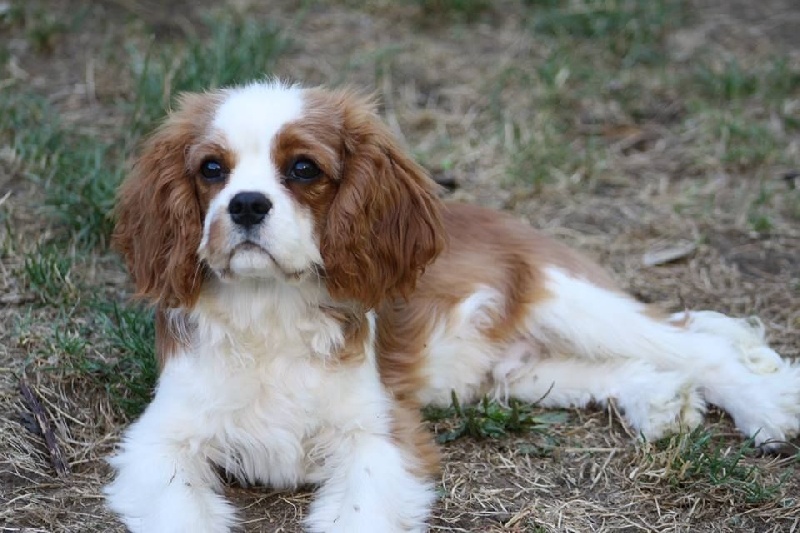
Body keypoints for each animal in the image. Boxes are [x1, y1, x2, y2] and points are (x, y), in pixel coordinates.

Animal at [105, 80, 800, 532]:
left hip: (570, 300)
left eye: (303, 169)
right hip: (511, 376)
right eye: (211, 169)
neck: (268, 308)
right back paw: (659, 401)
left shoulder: (382, 435)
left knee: (697, 340)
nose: (246, 205)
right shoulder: (159, 442)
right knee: (611, 368)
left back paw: (766, 407)